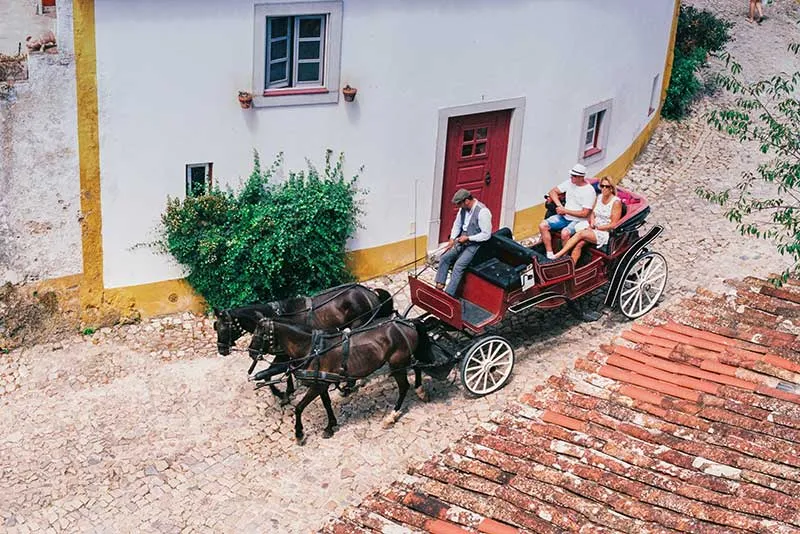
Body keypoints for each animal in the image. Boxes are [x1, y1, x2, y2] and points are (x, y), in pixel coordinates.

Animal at [213, 284, 394, 403]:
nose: (221, 350)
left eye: (223, 327)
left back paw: (349, 384)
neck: (276, 318)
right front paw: (288, 391)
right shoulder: (289, 354)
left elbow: (271, 373)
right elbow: (280, 372)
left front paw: (282, 394)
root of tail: (369, 292)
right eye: (215, 327)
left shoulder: (286, 354)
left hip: (359, 325)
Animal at [247, 316, 433, 445]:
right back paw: (420, 390)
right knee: (418, 366)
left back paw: (392, 416)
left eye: (259, 335)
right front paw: (330, 426)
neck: (311, 348)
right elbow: (327, 404)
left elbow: (299, 408)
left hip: (397, 363)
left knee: (404, 387)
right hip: (405, 359)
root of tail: (408, 322)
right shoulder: (321, 383)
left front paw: (299, 434)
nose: (250, 352)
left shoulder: (317, 386)